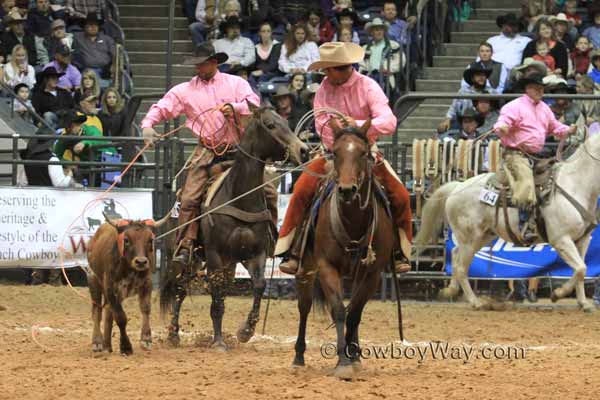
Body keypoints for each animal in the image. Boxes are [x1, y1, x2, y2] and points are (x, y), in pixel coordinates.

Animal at [87, 216, 166, 356]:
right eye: (126, 240)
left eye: (150, 240)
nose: (141, 262)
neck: (129, 268)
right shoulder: (110, 289)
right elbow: (120, 317)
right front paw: (126, 346)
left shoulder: (147, 284)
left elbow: (145, 309)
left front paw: (146, 339)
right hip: (94, 280)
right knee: (97, 312)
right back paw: (97, 342)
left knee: (108, 313)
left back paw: (107, 345)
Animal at [161, 103, 308, 350]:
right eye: (270, 125)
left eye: (287, 123)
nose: (304, 150)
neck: (239, 197)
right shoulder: (215, 256)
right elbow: (217, 296)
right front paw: (219, 342)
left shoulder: (254, 254)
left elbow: (258, 285)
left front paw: (246, 331)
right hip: (186, 255)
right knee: (179, 288)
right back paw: (172, 334)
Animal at [290, 119, 398, 378]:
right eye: (336, 152)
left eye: (363, 153)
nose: (347, 190)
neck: (352, 222)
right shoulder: (327, 267)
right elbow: (339, 310)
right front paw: (342, 363)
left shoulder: (372, 273)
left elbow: (354, 313)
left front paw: (353, 357)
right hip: (306, 270)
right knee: (304, 307)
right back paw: (298, 357)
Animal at [414, 134, 600, 312]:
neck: (574, 185)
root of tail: (457, 187)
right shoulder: (561, 239)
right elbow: (581, 269)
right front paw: (557, 294)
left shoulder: (582, 240)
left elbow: (581, 271)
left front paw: (584, 303)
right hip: (470, 238)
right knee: (460, 267)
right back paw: (476, 302)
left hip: (482, 236)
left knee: (454, 253)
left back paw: (451, 290)